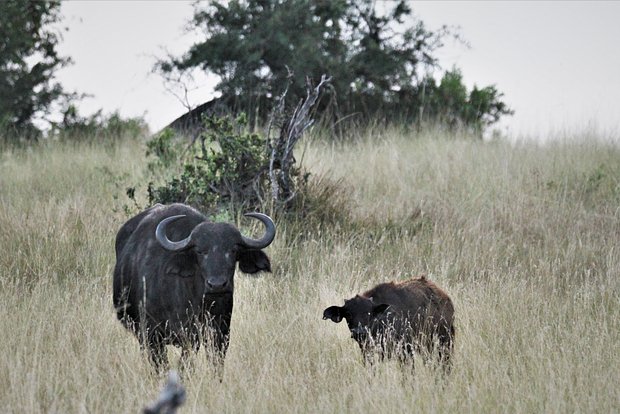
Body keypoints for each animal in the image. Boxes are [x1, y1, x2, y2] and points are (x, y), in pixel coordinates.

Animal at [324, 276, 456, 368]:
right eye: (348, 314)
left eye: (369, 313)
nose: (359, 332)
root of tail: (446, 299)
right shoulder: (368, 352)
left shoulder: (405, 351)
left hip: (445, 342)